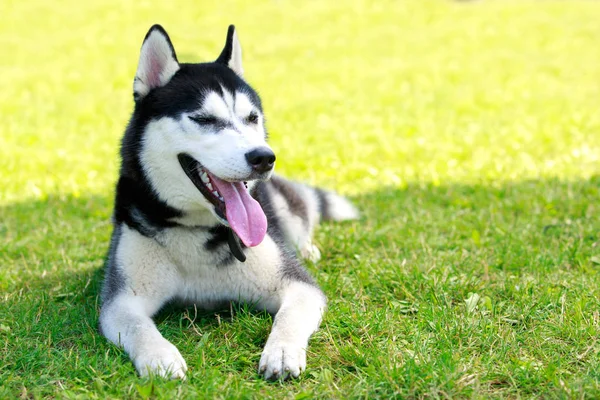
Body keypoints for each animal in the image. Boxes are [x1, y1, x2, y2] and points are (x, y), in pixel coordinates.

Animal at [100, 23, 358, 380]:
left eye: (252, 118)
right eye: (204, 119)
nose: (264, 158)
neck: (197, 231)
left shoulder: (298, 285)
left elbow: (289, 316)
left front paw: (281, 351)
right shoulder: (121, 299)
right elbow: (138, 326)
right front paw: (160, 356)